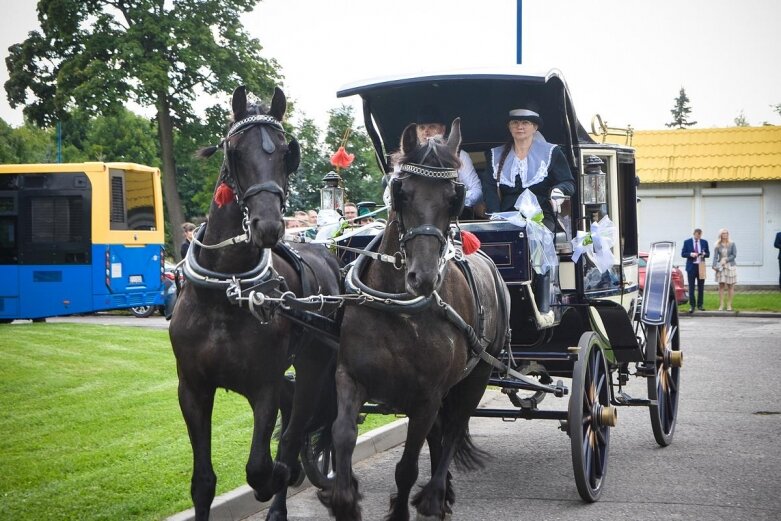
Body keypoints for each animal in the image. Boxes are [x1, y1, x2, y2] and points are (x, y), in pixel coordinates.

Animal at [169, 86, 340, 520]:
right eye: (235, 149)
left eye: (284, 152)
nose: (269, 226)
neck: (227, 289)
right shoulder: (192, 387)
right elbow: (203, 482)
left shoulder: (263, 384)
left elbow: (261, 467)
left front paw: (280, 477)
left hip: (314, 367)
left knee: (294, 435)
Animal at [318, 120, 512, 516]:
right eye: (401, 191)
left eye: (454, 197)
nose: (422, 277)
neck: (399, 309)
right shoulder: (350, 376)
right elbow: (342, 435)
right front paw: (343, 498)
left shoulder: (427, 397)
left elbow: (407, 467)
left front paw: (406, 507)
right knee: (441, 435)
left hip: (478, 375)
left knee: (453, 430)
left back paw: (436, 495)